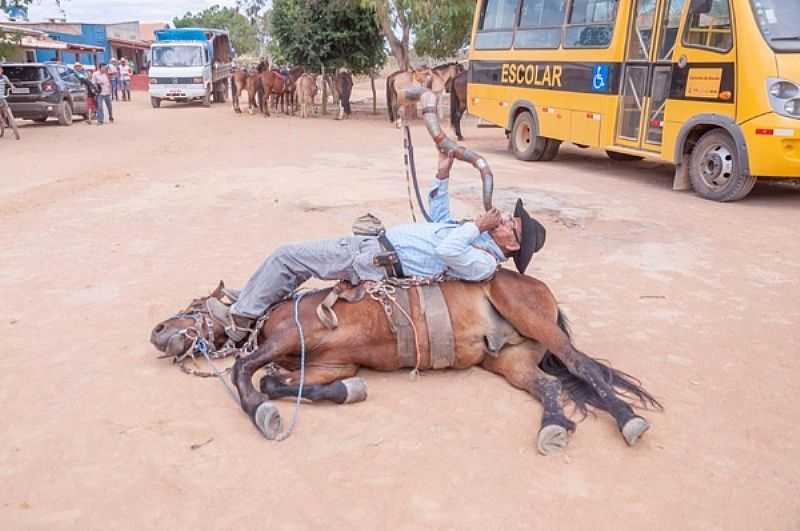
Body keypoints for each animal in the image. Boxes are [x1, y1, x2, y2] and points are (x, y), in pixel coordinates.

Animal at [152, 272, 664, 456]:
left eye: (192, 304)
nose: (156, 330)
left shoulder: (284, 337)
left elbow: (247, 375)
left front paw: (262, 413)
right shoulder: (329, 366)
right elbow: (286, 382)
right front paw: (348, 394)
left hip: (531, 317)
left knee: (584, 368)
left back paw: (629, 420)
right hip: (511, 361)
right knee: (552, 387)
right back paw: (553, 427)